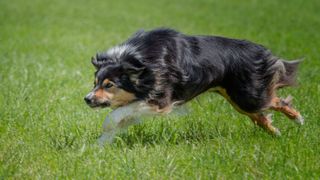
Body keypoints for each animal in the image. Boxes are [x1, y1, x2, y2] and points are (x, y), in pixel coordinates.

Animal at [84, 28, 304, 145]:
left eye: (109, 85)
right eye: (95, 83)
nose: (87, 99)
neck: (139, 61)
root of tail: (261, 51)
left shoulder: (161, 97)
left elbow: (115, 116)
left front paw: (103, 135)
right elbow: (121, 118)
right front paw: (98, 147)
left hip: (247, 95)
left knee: (276, 100)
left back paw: (298, 119)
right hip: (237, 98)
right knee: (261, 116)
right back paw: (276, 133)